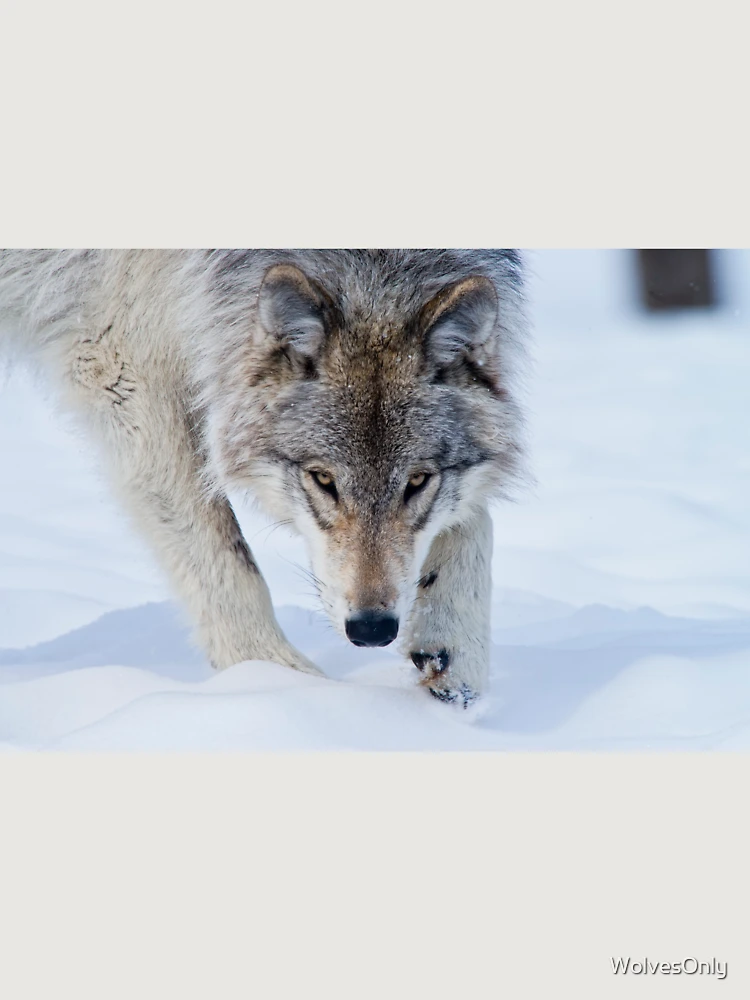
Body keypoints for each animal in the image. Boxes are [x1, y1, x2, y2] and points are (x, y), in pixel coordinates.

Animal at [0, 250, 527, 705]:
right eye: (322, 479)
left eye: (417, 482)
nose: (372, 629)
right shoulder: (119, 362)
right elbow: (225, 555)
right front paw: (282, 687)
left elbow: (475, 516)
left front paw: (454, 651)